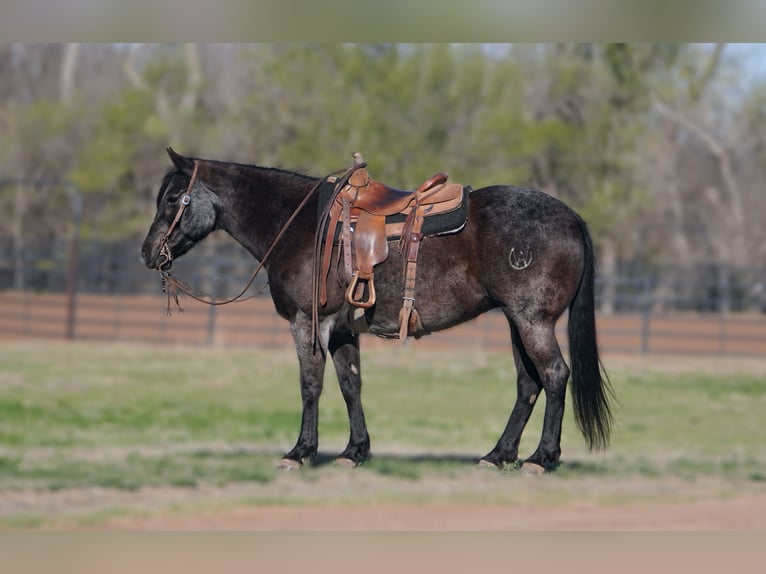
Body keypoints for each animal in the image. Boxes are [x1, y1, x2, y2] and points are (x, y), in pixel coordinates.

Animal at [141, 150, 616, 476]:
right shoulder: (342, 330)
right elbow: (350, 385)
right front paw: (355, 451)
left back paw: (541, 458)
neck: (300, 226)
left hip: (533, 322)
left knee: (553, 376)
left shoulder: (308, 322)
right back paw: (499, 455)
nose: (148, 253)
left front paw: (300, 452)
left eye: (173, 198)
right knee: (528, 385)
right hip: (517, 322)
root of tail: (572, 217)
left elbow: (310, 386)